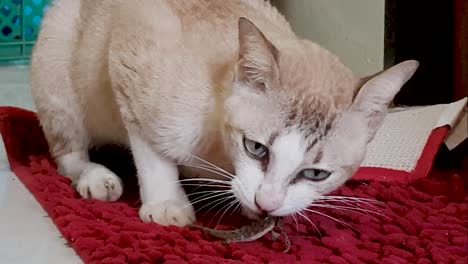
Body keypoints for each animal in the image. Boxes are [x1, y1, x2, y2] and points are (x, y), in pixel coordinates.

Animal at [28, 0, 416, 227]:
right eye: (256, 149)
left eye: (316, 174)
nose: (267, 204)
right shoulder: (130, 61)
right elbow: (153, 153)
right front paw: (167, 204)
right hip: (59, 57)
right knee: (66, 152)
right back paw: (95, 176)